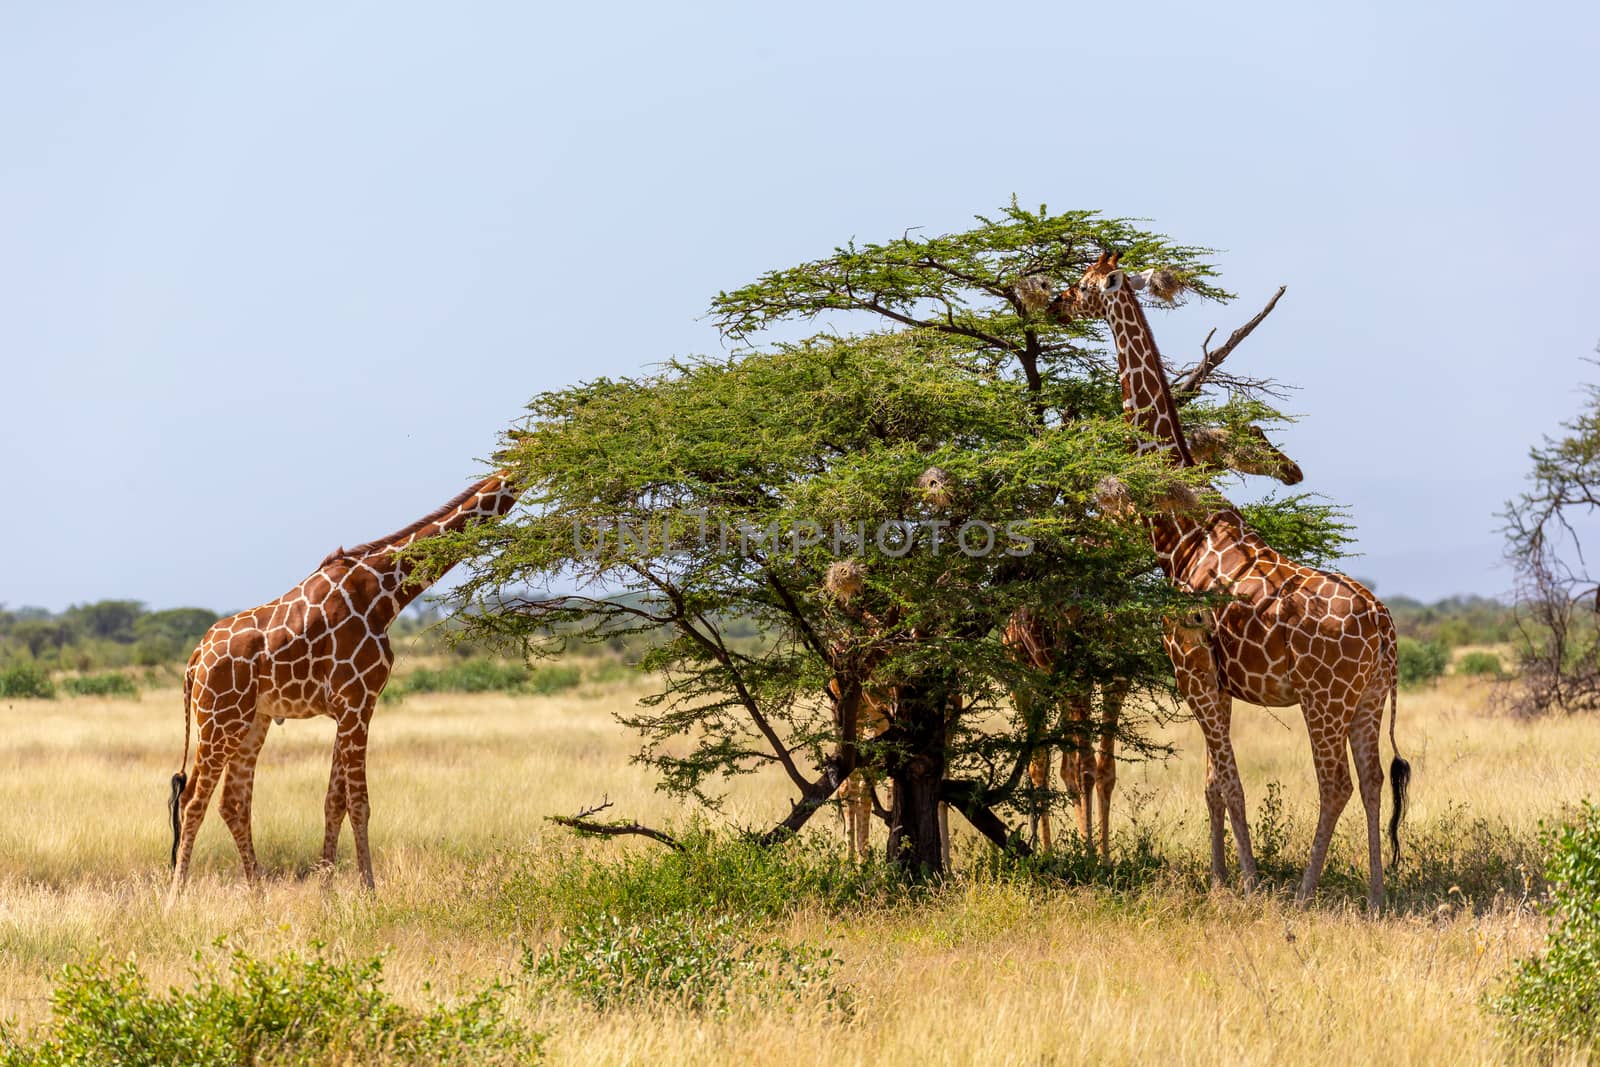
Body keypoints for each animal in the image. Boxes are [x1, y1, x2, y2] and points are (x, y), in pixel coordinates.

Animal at [166, 470, 521, 895]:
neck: (384, 591)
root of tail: (195, 659)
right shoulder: (357, 701)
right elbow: (359, 802)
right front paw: (369, 891)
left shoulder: (352, 706)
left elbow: (333, 802)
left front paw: (327, 893)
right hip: (219, 719)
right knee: (191, 801)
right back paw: (176, 898)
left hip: (251, 721)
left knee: (232, 803)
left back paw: (259, 898)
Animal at [1062, 252, 1414, 908]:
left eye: (1086, 283)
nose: (1056, 302)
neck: (1180, 531)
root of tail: (1384, 628)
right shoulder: (1214, 682)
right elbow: (1211, 783)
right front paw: (1219, 880)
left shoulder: (1191, 668)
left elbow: (1229, 782)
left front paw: (1246, 883)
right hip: (1369, 698)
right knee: (1375, 779)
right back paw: (1378, 897)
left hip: (1323, 698)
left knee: (1335, 783)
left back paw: (1303, 892)